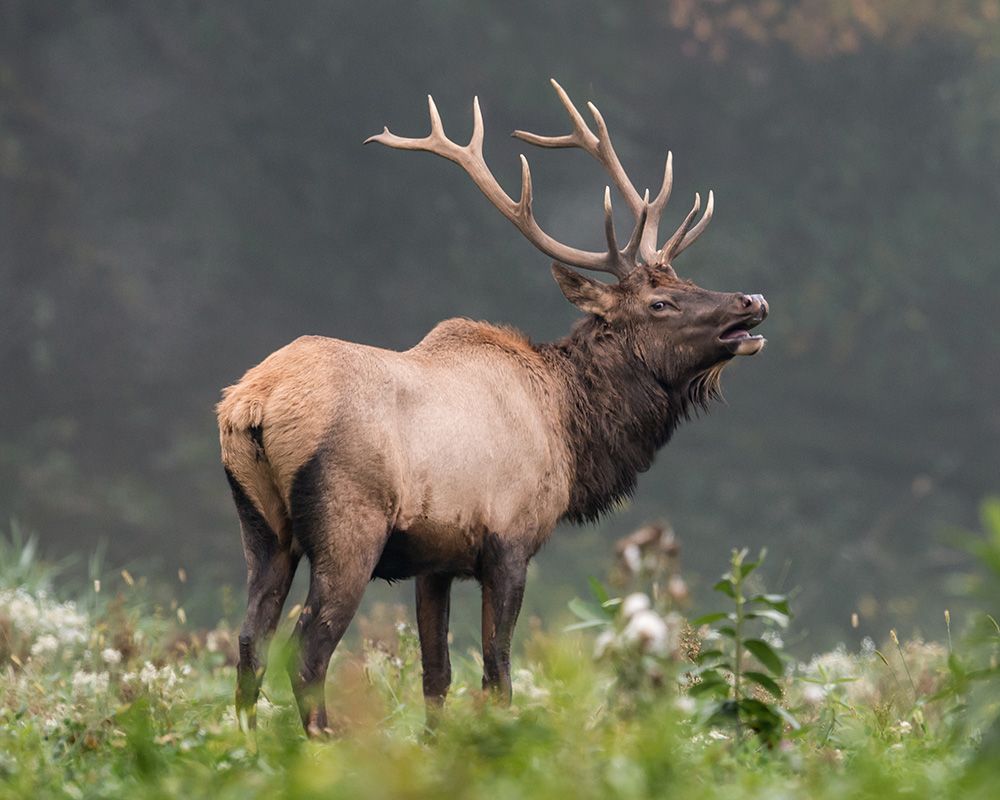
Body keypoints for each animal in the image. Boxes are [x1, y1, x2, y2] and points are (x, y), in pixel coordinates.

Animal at [217, 79, 768, 736]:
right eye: (659, 302)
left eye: (686, 279)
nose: (752, 299)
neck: (570, 429)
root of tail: (252, 404)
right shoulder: (509, 540)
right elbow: (497, 674)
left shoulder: (434, 560)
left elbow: (436, 677)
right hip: (348, 522)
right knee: (306, 652)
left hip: (262, 526)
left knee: (249, 642)